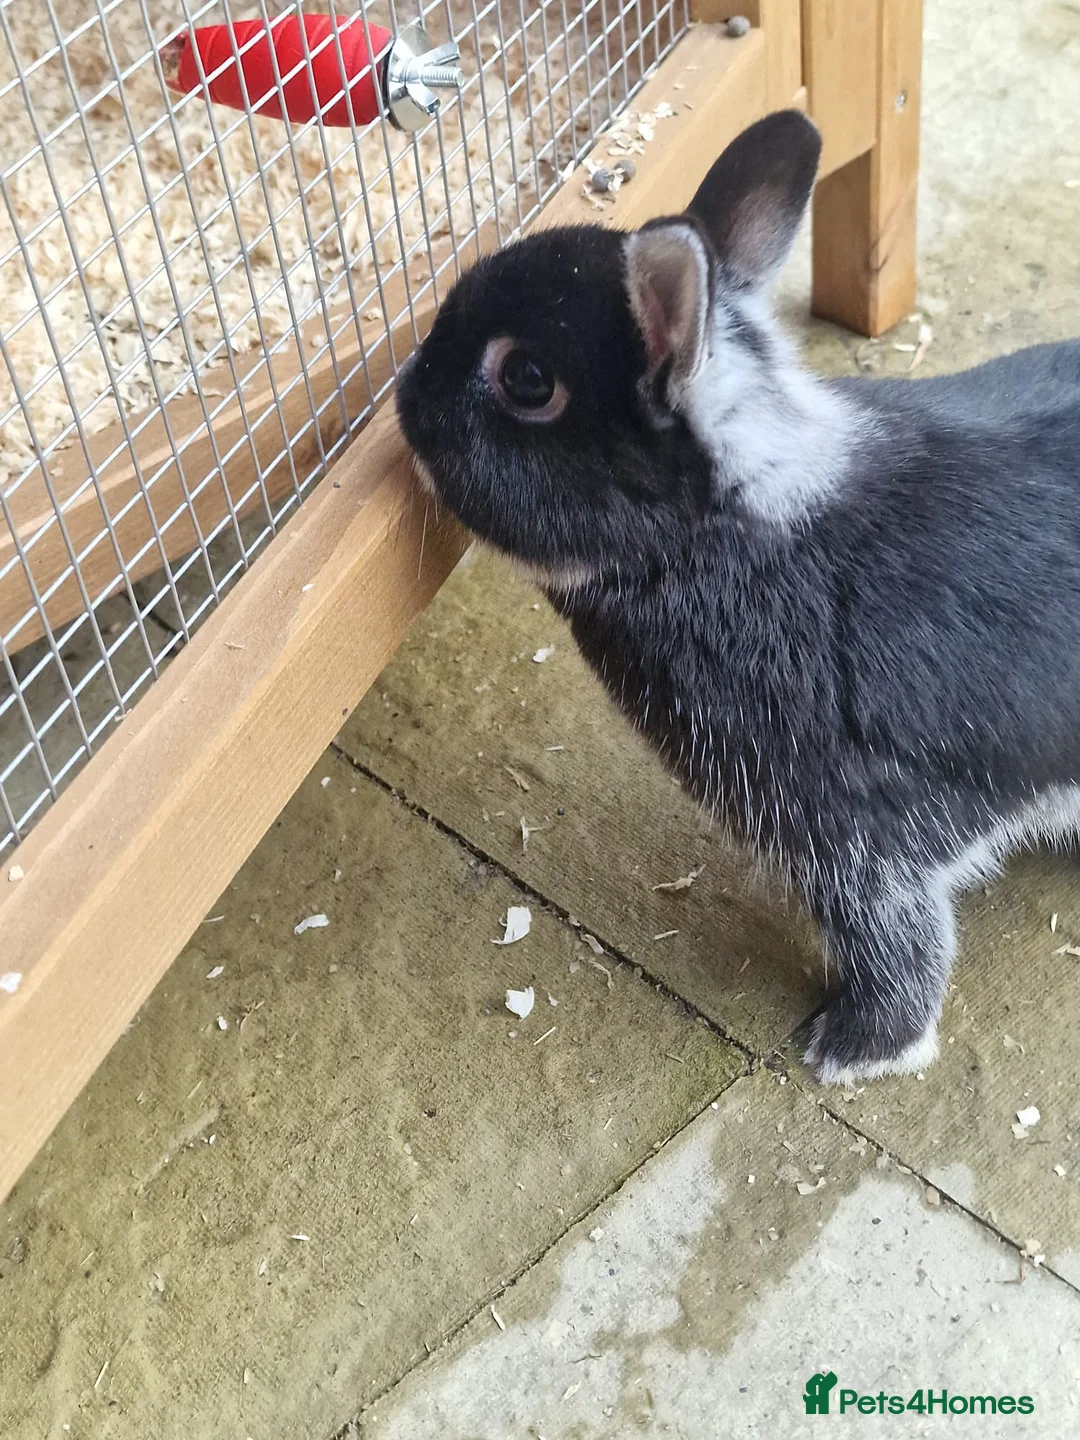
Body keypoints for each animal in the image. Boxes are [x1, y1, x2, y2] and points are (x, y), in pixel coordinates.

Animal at [396, 108, 1080, 1085]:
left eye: (527, 380)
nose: (405, 392)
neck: (729, 528)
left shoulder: (856, 836)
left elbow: (899, 943)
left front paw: (854, 1052)